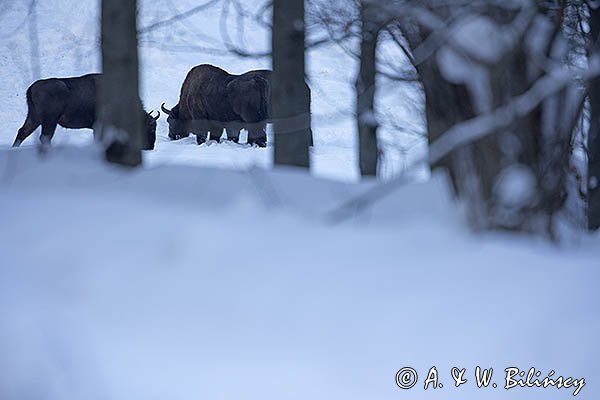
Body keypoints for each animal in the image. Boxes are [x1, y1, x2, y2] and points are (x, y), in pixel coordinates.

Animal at [14, 73, 159, 150]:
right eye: (151, 128)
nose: (150, 146)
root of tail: (31, 88)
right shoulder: (100, 125)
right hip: (49, 120)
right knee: (45, 137)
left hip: (35, 117)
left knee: (23, 132)